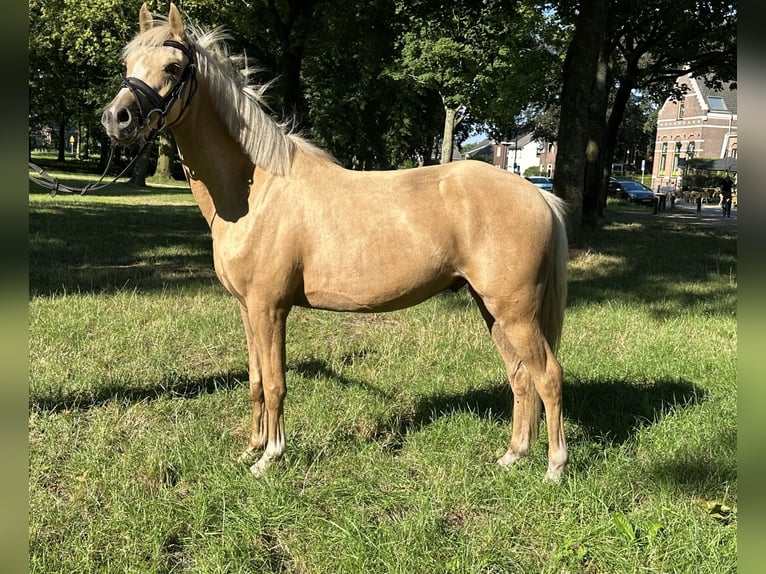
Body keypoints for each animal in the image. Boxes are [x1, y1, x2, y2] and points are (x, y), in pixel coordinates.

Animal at [100, 3, 568, 482]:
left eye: (173, 67)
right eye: (127, 64)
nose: (116, 119)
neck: (257, 192)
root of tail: (538, 195)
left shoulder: (270, 308)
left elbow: (275, 382)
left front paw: (270, 457)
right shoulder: (248, 309)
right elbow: (255, 381)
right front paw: (251, 449)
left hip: (515, 312)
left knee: (548, 376)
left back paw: (554, 467)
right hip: (492, 309)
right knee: (520, 376)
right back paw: (513, 455)